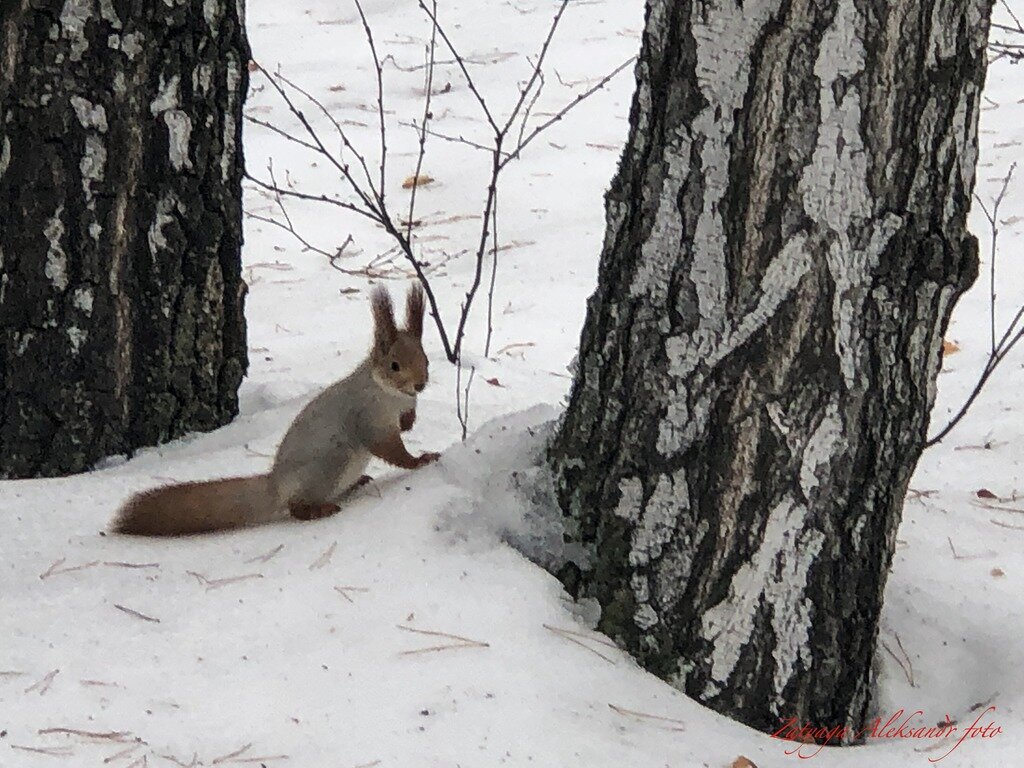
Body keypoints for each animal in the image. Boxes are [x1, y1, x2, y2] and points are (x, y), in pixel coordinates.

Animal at [112, 283, 440, 536]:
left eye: (426, 359)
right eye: (394, 365)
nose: (420, 384)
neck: (390, 394)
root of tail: (276, 486)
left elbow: (407, 420)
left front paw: (410, 423)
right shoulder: (368, 415)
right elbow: (389, 448)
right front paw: (419, 460)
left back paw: (357, 483)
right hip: (329, 463)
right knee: (296, 507)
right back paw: (319, 509)